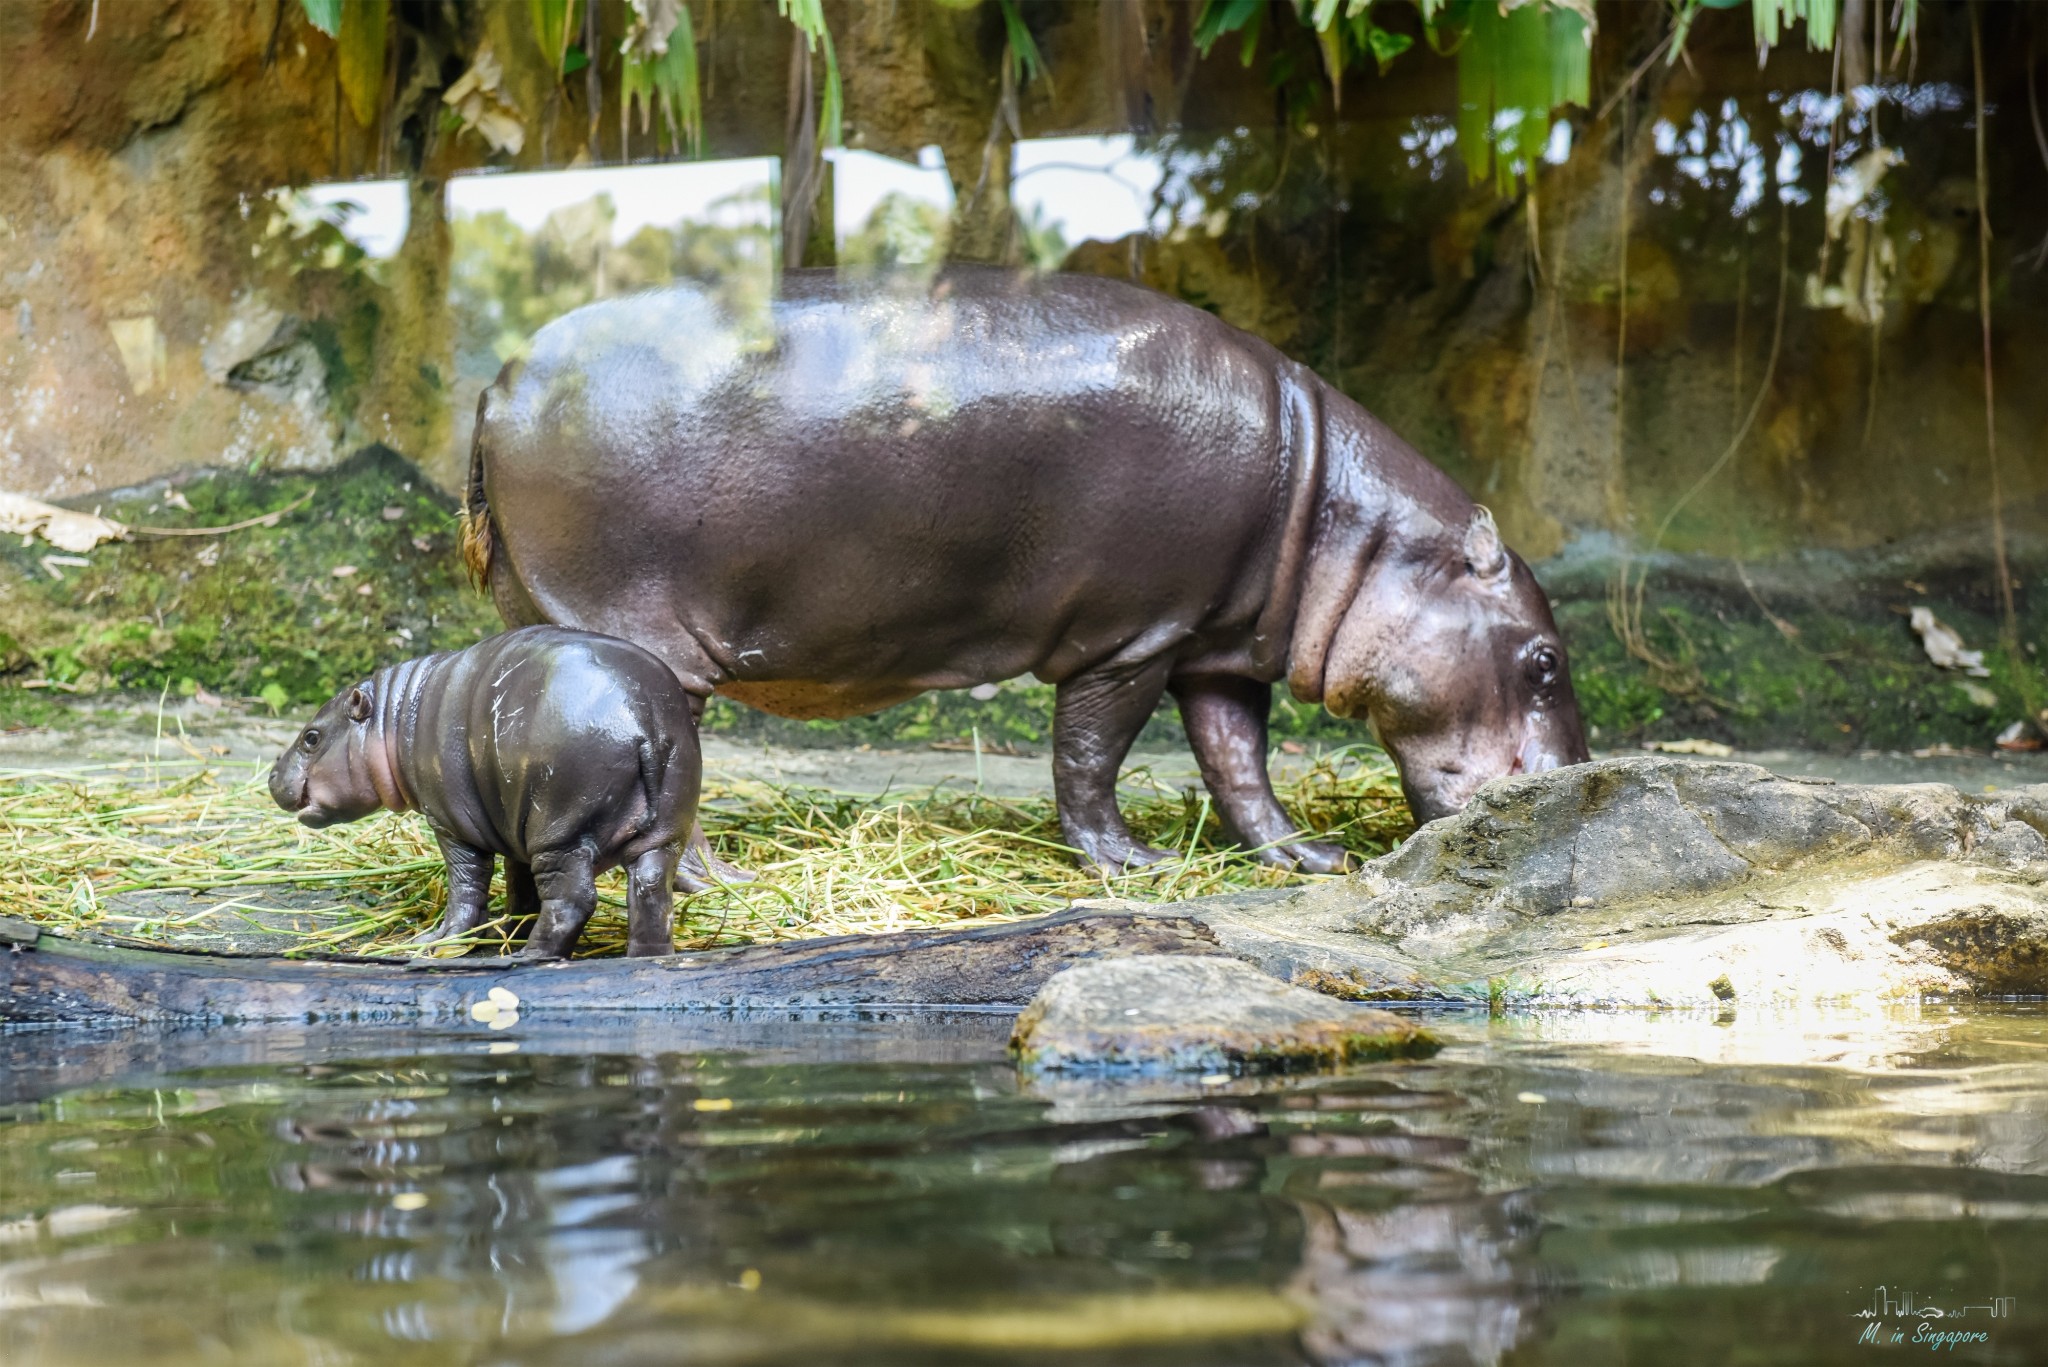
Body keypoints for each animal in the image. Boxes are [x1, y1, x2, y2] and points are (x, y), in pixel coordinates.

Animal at [268, 627, 700, 959]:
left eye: (311, 737)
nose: (271, 774)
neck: (395, 718)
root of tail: (641, 719)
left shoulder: (452, 825)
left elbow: (466, 885)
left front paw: (439, 941)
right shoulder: (514, 829)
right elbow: (520, 888)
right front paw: (503, 933)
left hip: (562, 832)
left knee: (572, 899)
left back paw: (531, 956)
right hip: (661, 833)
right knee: (651, 892)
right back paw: (647, 958)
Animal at [460, 264, 1581, 877]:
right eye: (1544, 661)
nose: (1571, 784)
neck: (1330, 511)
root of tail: (498, 382)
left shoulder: (1214, 645)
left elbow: (1238, 764)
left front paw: (1304, 857)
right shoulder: (1133, 634)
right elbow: (1089, 755)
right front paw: (1131, 863)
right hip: (640, 634)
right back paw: (716, 879)